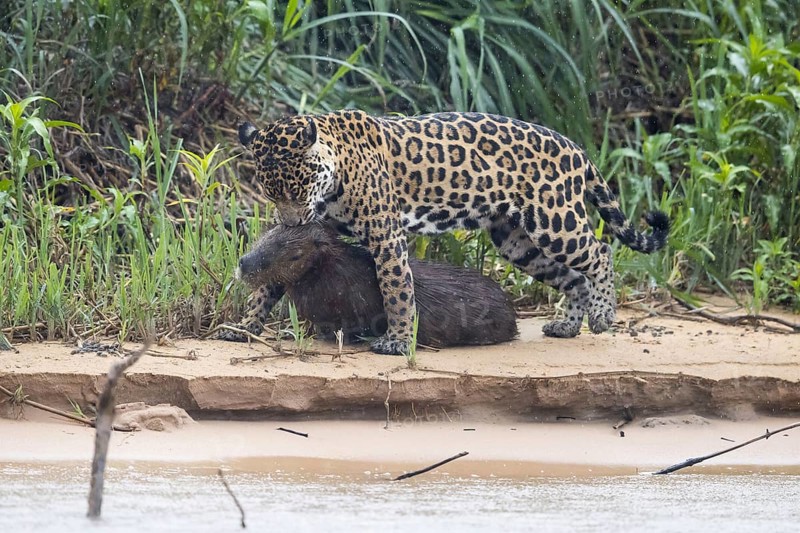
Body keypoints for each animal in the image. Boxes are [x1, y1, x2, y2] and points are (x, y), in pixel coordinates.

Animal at [238, 110, 670, 356]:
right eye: (271, 193)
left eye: (297, 189)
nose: (294, 222)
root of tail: (576, 148)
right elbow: (270, 282)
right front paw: (244, 326)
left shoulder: (386, 236)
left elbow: (397, 290)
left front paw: (398, 340)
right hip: (517, 242)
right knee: (572, 276)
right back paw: (566, 326)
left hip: (554, 220)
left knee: (599, 252)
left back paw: (602, 314)